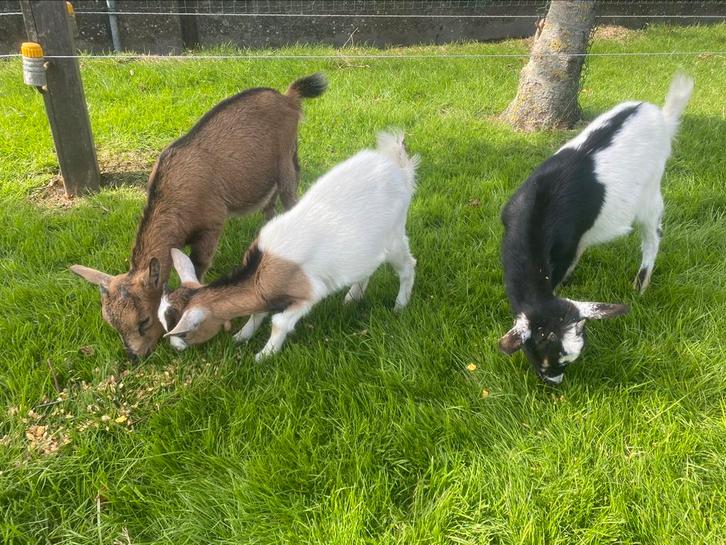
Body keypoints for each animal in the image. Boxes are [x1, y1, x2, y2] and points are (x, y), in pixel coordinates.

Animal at [69, 73, 327, 359]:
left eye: (144, 320)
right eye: (111, 323)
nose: (136, 356)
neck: (175, 199)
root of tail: (288, 97)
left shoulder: (211, 224)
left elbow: (198, 264)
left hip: (286, 160)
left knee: (291, 197)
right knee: (269, 207)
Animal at [158, 131, 419, 361]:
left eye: (183, 331)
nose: (176, 348)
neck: (261, 268)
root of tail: (399, 167)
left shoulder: (308, 293)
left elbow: (279, 322)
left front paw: (264, 355)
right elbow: (256, 313)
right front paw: (241, 336)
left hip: (395, 235)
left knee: (408, 266)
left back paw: (400, 305)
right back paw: (352, 297)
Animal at [499, 72, 694, 385]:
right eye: (542, 352)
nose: (554, 383)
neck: (539, 211)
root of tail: (662, 118)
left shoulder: (565, 246)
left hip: (651, 194)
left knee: (653, 238)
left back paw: (641, 283)